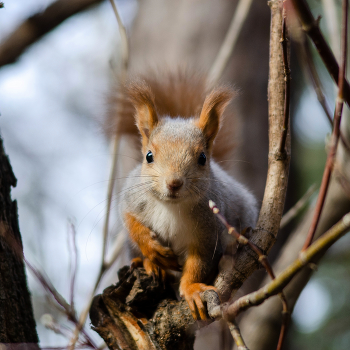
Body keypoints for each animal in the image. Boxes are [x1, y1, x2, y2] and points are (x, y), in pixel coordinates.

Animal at [110, 71, 258, 320]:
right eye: (148, 156)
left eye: (202, 158)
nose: (174, 183)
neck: (170, 205)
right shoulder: (131, 199)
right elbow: (132, 223)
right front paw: (152, 250)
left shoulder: (208, 232)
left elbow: (198, 263)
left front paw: (192, 291)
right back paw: (147, 263)